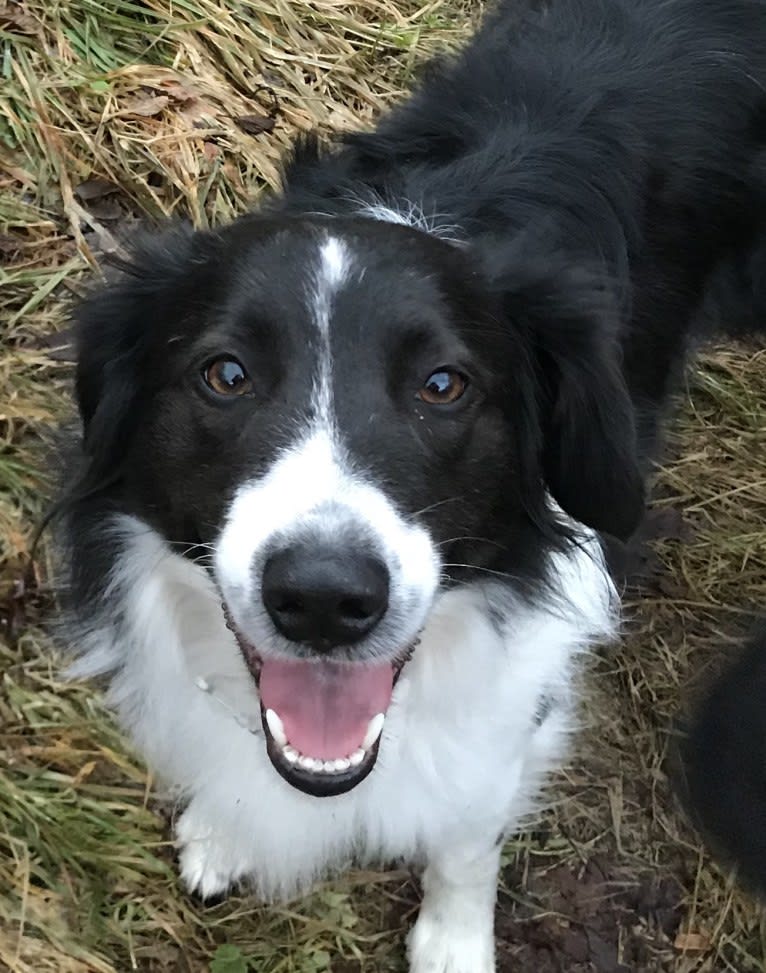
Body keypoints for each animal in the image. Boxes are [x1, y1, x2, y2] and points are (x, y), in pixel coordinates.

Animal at [55, 0, 766, 964]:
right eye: (226, 374)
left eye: (443, 385)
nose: (323, 598)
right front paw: (230, 826)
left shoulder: (513, 700)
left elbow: (466, 831)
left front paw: (454, 940)